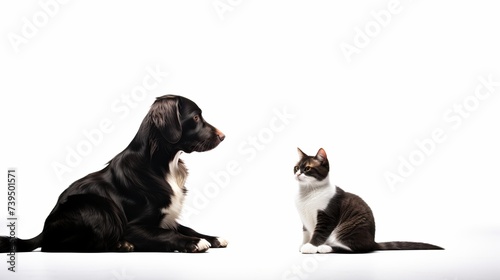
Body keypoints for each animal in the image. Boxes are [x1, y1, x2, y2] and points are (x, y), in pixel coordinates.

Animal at [0, 95, 227, 253]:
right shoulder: (133, 226)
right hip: (98, 206)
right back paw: (121, 245)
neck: (164, 166)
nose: (223, 136)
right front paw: (195, 243)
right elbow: (167, 234)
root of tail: (44, 228)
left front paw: (213, 237)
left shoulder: (167, 217)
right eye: (195, 117)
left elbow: (186, 228)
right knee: (55, 246)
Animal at [292, 149, 442, 254]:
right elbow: (306, 232)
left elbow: (319, 232)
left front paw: (310, 246)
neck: (307, 193)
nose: (298, 173)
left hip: (350, 229)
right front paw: (304, 244)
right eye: (296, 167)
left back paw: (326, 248)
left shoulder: (328, 215)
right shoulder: (304, 219)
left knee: (354, 248)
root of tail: (372, 241)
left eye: (307, 169)